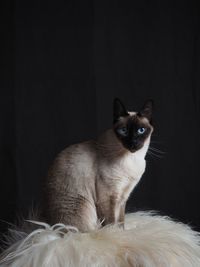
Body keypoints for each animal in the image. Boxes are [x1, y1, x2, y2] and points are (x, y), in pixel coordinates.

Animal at [40, 98, 153, 232]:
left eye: (141, 130)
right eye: (124, 131)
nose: (133, 143)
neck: (133, 159)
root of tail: (52, 227)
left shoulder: (123, 196)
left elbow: (121, 220)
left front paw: (122, 232)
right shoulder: (108, 197)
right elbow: (111, 222)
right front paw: (114, 234)